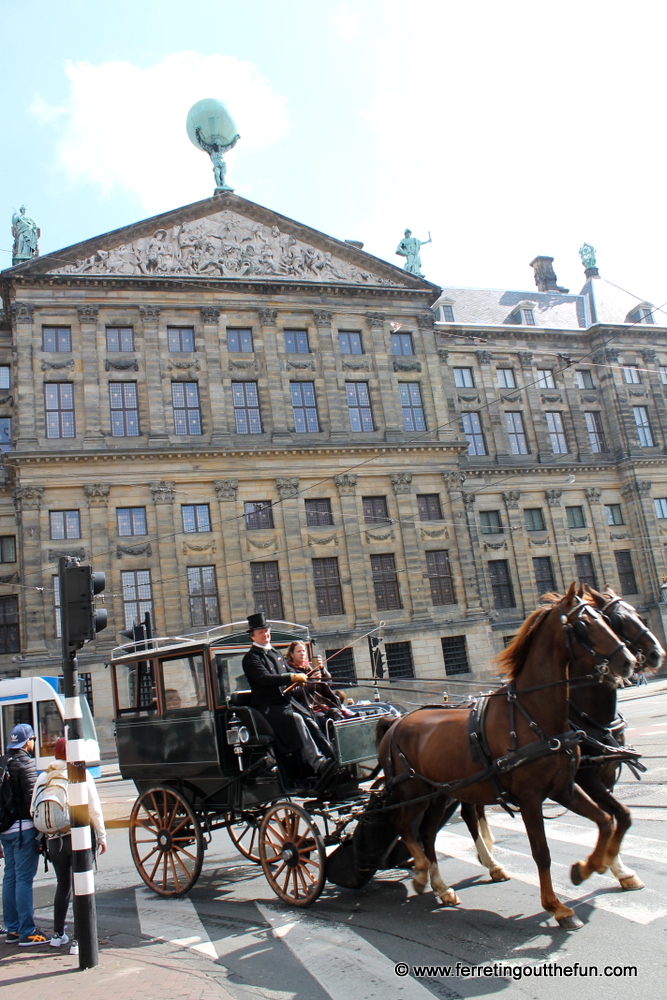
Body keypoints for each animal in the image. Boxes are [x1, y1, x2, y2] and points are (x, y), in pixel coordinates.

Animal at [376, 584, 636, 928]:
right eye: (583, 625)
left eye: (605, 620)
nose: (630, 662)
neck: (534, 714)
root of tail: (396, 722)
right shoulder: (530, 796)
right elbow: (541, 851)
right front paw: (557, 906)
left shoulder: (565, 788)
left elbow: (606, 820)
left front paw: (586, 869)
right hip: (413, 792)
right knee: (403, 824)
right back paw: (421, 873)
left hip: (441, 794)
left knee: (427, 833)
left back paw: (441, 886)